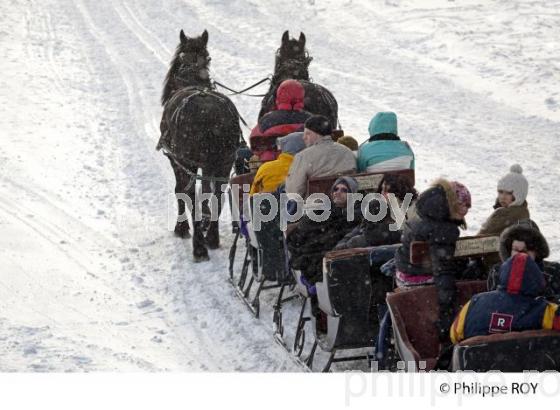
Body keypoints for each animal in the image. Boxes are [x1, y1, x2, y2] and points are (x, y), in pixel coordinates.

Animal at [156, 31, 242, 262]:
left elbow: (181, 191)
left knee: (190, 194)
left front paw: (182, 227)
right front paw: (204, 220)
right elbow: (207, 192)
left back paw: (199, 246)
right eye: (209, 57)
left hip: (189, 162)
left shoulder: (176, 160)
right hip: (224, 161)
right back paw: (211, 237)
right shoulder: (209, 165)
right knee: (218, 194)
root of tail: (212, 113)